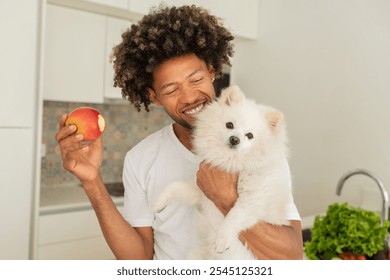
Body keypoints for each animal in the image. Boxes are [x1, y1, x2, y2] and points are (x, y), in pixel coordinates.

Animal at [154, 85, 290, 260]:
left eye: (250, 135)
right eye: (229, 125)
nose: (235, 139)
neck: (230, 161)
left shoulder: (253, 200)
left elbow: (234, 216)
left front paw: (221, 240)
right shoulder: (201, 192)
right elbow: (175, 186)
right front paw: (159, 202)